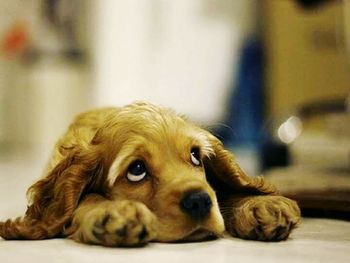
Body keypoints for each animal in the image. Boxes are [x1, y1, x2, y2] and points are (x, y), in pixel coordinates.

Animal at [0, 102, 300, 246]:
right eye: (136, 170)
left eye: (195, 156)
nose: (199, 201)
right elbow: (85, 199)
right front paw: (115, 212)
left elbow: (223, 191)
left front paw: (263, 206)